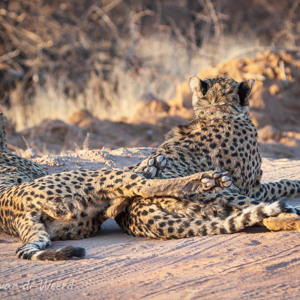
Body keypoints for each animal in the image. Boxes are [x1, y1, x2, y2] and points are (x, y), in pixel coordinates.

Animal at [114, 74, 300, 237]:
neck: (217, 110)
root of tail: (136, 208)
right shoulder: (253, 189)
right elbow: (281, 184)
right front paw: (296, 184)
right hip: (226, 191)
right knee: (268, 214)